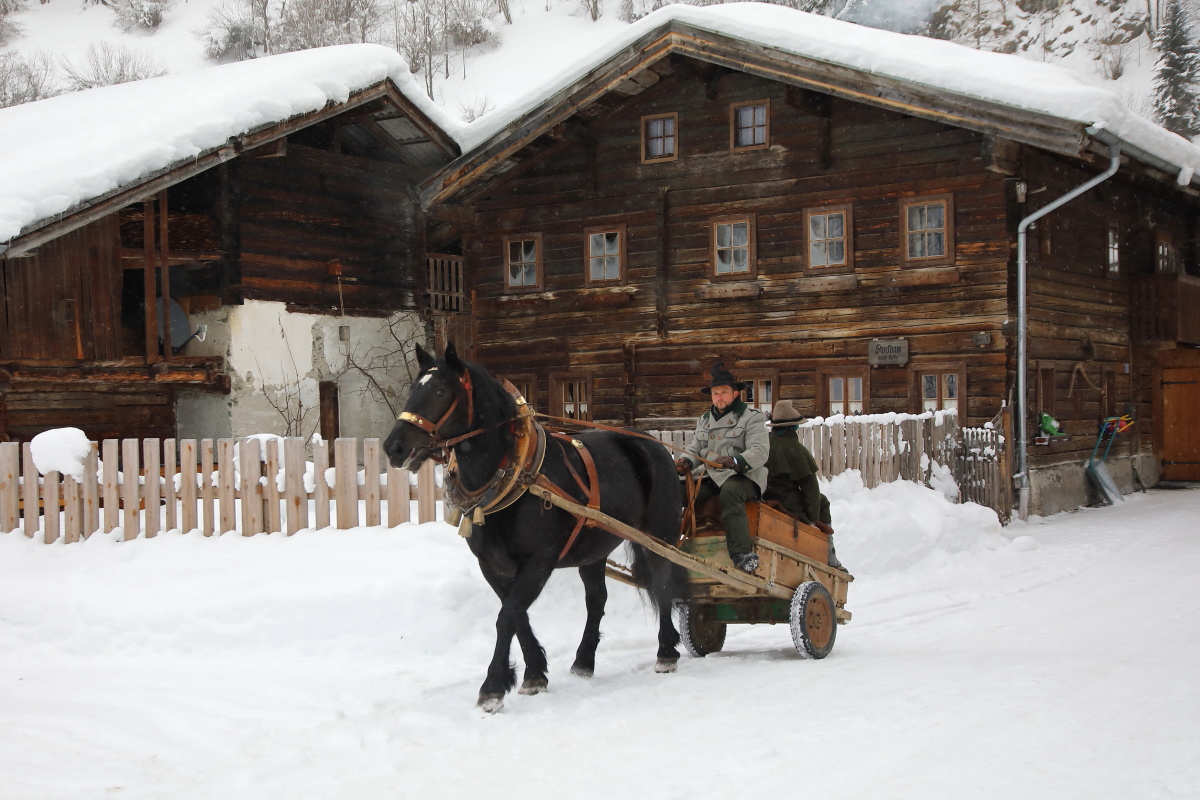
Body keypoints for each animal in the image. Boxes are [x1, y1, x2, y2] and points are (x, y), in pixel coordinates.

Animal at [379, 345, 691, 714]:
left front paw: (492, 688)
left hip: (659, 537)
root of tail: (656, 445)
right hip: (594, 549)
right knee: (597, 599)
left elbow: (507, 616)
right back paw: (584, 660)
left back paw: (666, 652)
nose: (394, 447)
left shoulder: (539, 560)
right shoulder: (493, 565)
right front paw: (534, 674)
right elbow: (517, 616)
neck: (514, 474)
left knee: (662, 585)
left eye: (440, 391)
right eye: (414, 388)